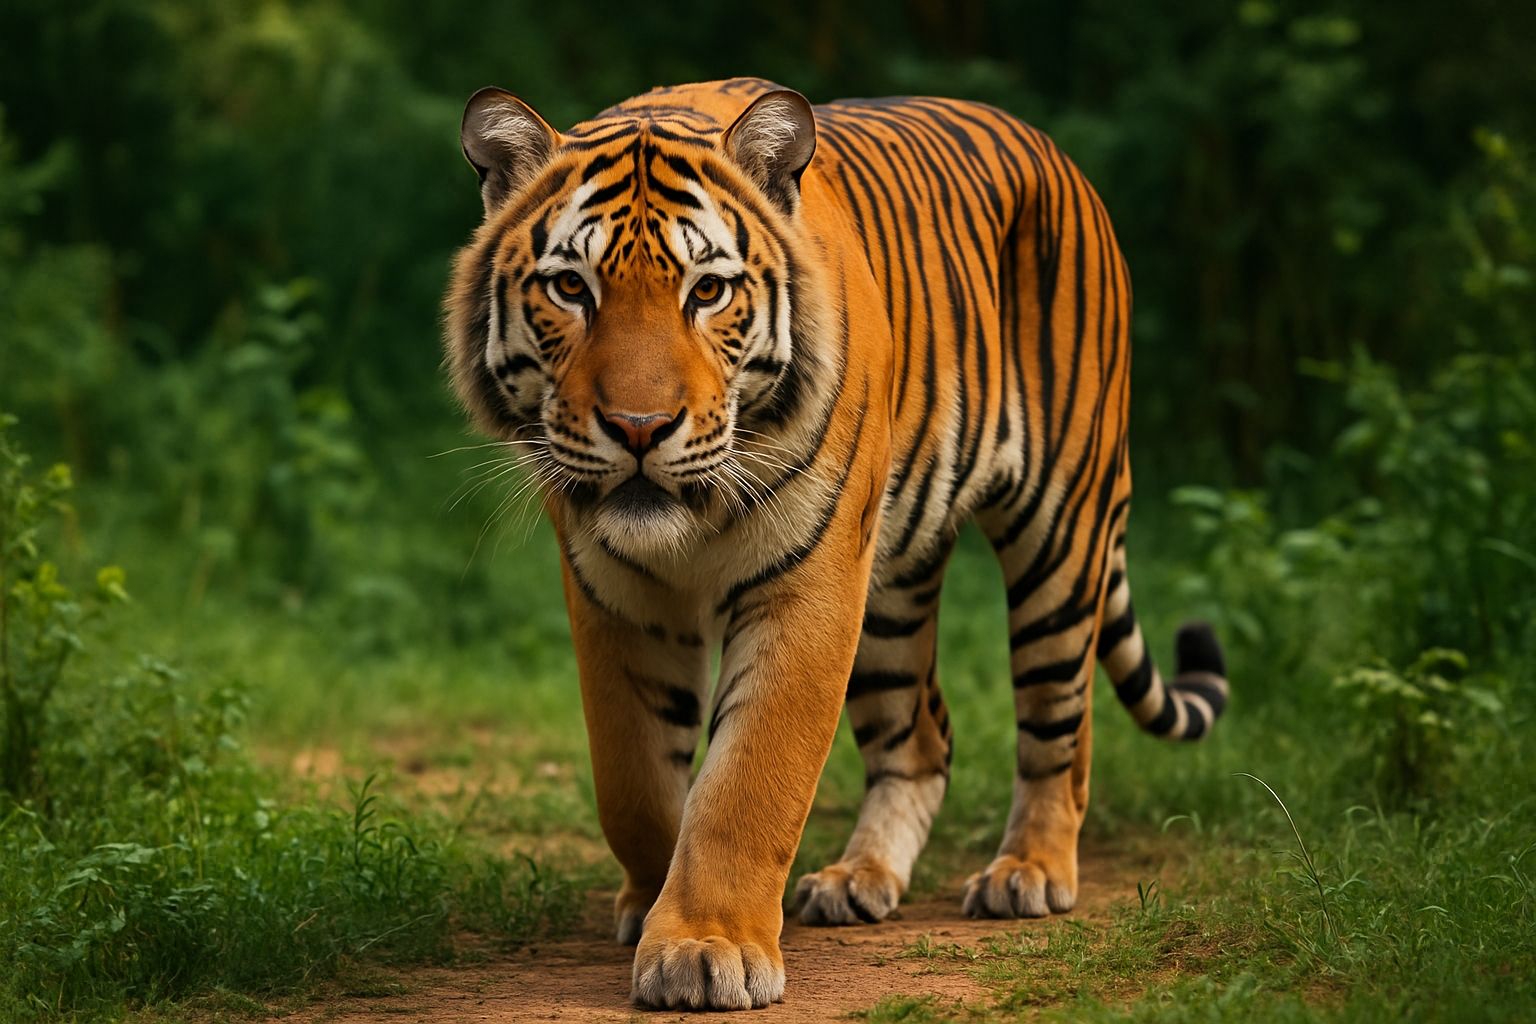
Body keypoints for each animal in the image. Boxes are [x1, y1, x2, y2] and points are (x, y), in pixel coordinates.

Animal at [442, 77, 1229, 1011]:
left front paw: (705, 945)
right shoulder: (614, 593)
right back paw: (860, 879)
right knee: (920, 738)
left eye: (707, 292)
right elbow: (632, 775)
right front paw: (651, 900)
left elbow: (747, 782)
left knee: (1058, 727)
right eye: (570, 287)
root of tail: (1055, 152)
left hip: (1062, 533)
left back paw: (1028, 872)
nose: (639, 428)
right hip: (891, 590)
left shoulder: (808, 583)